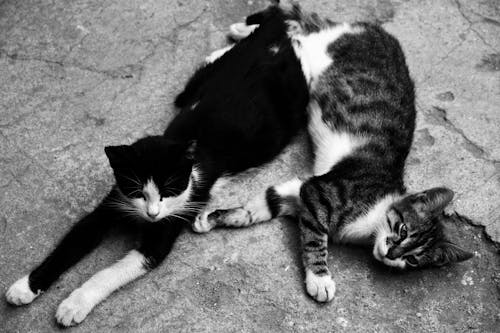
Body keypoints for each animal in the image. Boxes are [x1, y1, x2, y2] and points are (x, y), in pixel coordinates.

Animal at [4, 6, 308, 326]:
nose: (152, 214)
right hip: (201, 82)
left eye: (169, 191)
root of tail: (272, 41)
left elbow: (109, 273)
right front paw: (26, 286)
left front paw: (74, 303)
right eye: (138, 192)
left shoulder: (170, 223)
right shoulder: (111, 205)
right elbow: (71, 243)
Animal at [199, 4, 472, 300]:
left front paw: (214, 218)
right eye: (402, 230)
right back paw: (228, 47)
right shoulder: (318, 193)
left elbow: (262, 205)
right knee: (296, 35)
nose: (391, 254)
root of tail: (377, 31)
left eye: (412, 259)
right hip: (313, 58)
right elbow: (315, 239)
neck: (371, 221)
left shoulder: (299, 190)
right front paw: (319, 278)